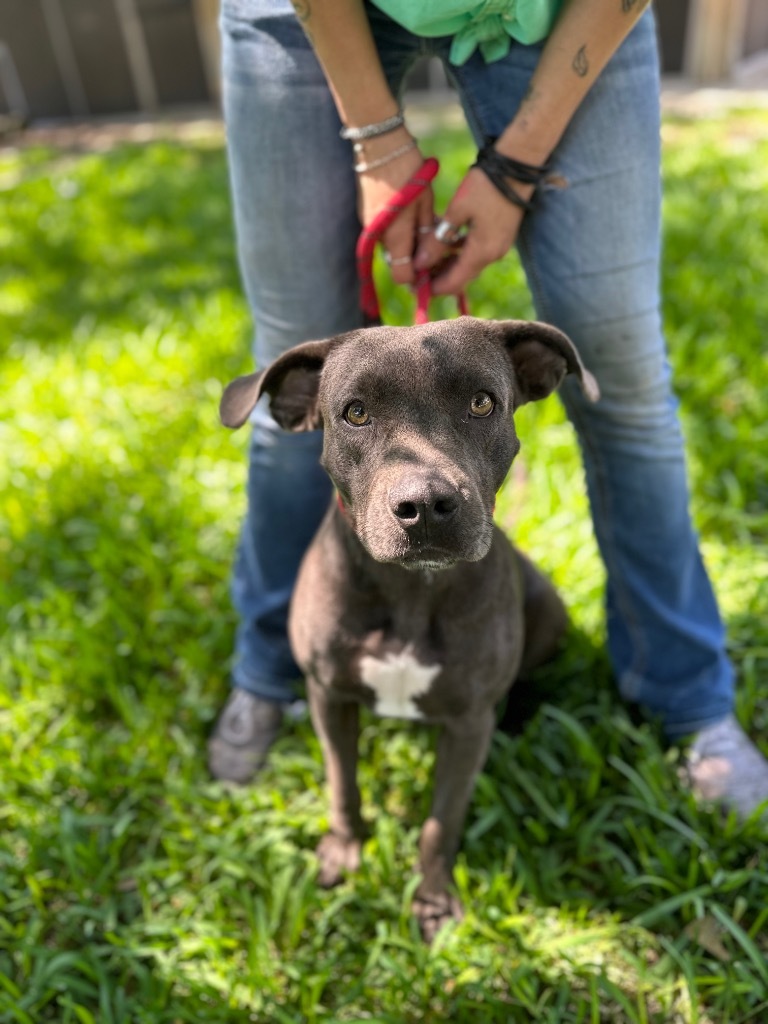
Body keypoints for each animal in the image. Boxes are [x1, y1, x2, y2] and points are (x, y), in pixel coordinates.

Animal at [222, 315, 602, 937]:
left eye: (481, 403)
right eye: (355, 413)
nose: (425, 505)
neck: (411, 587)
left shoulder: (467, 724)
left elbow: (441, 821)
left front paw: (433, 900)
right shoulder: (328, 694)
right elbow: (343, 784)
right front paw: (343, 853)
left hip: (548, 609)